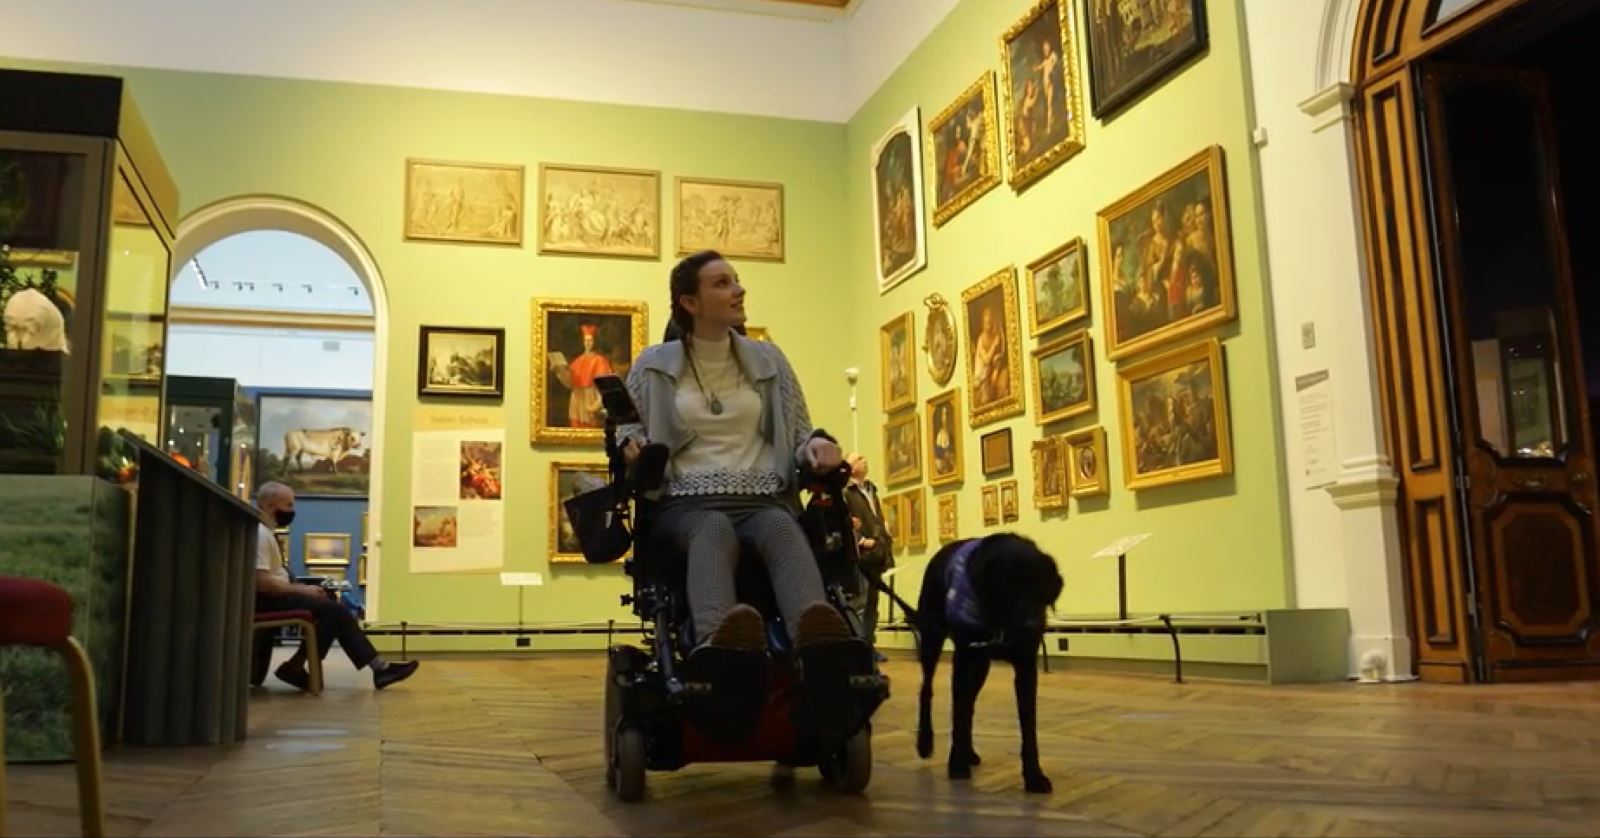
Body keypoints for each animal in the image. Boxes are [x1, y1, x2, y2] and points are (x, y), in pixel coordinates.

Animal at [915, 537, 1062, 793]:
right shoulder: (963, 660)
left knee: (970, 703)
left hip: (981, 666)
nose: (1032, 626)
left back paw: (969, 752)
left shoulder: (1026, 667)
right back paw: (925, 742)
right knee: (927, 691)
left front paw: (1034, 776)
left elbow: (1028, 725)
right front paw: (957, 765)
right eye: (1009, 586)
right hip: (932, 639)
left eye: (1041, 586)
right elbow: (959, 714)